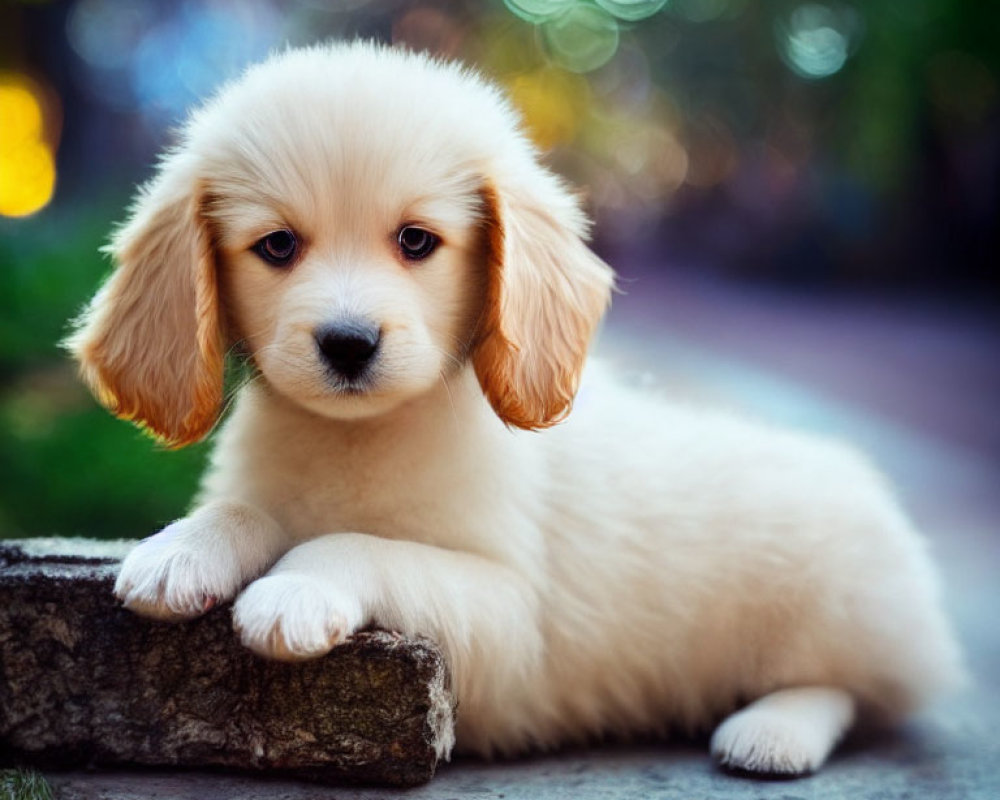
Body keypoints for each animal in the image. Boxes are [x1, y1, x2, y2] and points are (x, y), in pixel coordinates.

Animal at [66, 42, 964, 776]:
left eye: (417, 241)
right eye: (277, 246)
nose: (348, 344)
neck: (360, 443)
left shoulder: (510, 621)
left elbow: (355, 544)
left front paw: (297, 588)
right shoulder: (272, 492)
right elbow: (251, 511)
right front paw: (183, 548)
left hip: (834, 598)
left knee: (853, 692)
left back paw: (773, 732)